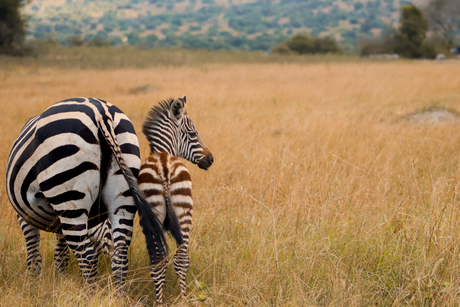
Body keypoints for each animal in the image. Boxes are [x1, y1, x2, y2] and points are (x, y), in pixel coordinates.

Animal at [5, 97, 167, 288]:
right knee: (120, 257)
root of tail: (101, 112)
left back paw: (90, 293)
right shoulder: (59, 222)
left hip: (69, 193)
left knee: (88, 257)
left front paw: (34, 288)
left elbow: (34, 256)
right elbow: (60, 254)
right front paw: (59, 281)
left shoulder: (24, 215)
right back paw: (118, 294)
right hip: (123, 192)